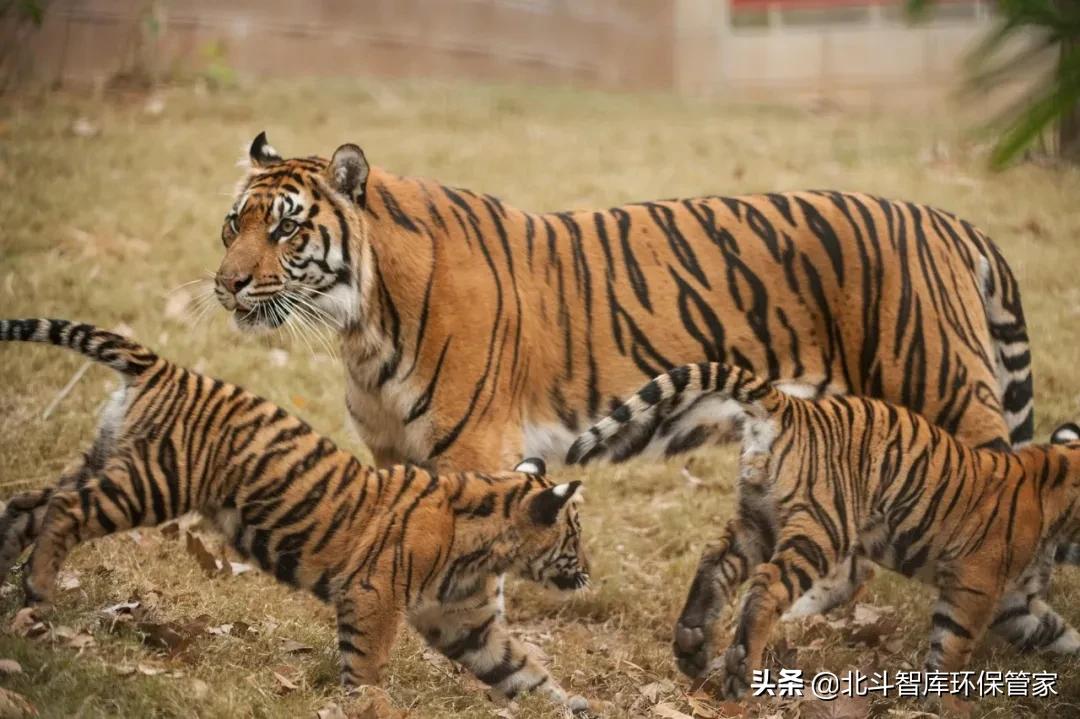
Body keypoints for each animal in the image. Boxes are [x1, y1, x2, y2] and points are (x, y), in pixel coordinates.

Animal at [0, 318, 590, 712]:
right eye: (575, 538)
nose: (588, 574)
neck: (487, 549)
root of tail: (164, 367)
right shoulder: (374, 594)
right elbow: (368, 660)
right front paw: (371, 703)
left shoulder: (466, 623)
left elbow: (523, 670)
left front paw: (573, 705)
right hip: (153, 481)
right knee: (64, 509)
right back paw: (41, 589)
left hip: (105, 461)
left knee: (27, 505)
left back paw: (16, 581)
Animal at [566, 362, 1080, 699]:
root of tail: (790, 405)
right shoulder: (975, 586)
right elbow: (953, 647)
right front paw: (946, 703)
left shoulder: (1012, 599)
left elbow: (1050, 628)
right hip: (822, 528)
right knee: (766, 586)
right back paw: (740, 670)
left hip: (758, 520)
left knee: (716, 561)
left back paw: (692, 643)